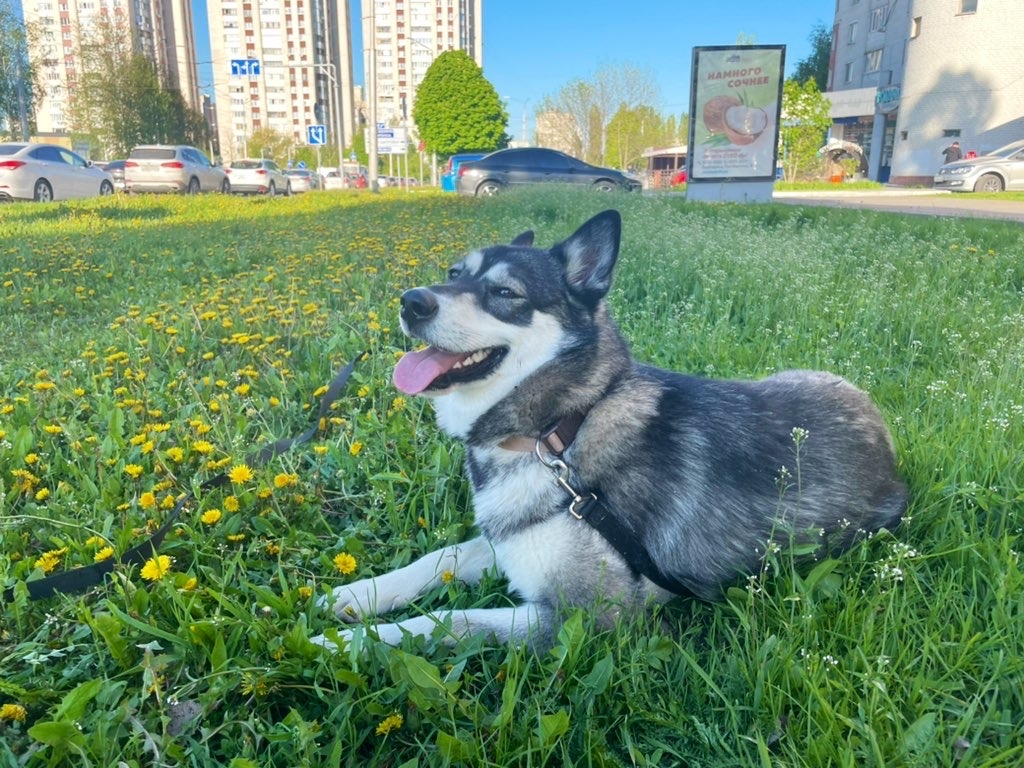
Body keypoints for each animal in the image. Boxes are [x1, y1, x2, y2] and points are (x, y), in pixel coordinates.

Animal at [315, 208, 909, 651]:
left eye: (505, 294)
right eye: (456, 274)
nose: (412, 301)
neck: (557, 430)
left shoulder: (584, 618)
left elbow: (453, 621)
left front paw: (342, 643)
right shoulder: (509, 539)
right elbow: (443, 557)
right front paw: (357, 596)